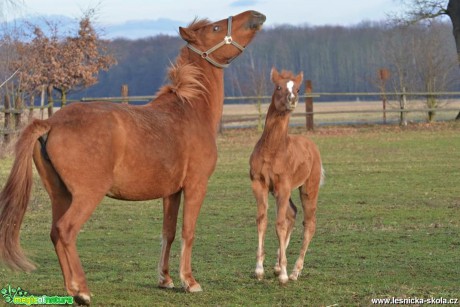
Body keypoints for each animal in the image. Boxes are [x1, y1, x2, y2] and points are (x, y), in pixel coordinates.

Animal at [0, 10, 266, 306]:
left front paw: (165, 279)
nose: (256, 15)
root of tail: (51, 123)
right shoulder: (196, 186)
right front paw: (189, 281)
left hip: (60, 195)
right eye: (216, 28)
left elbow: (168, 233)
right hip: (86, 196)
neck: (189, 110)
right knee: (66, 231)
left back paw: (71, 289)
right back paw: (82, 291)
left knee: (55, 233)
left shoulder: (171, 192)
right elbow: (188, 231)